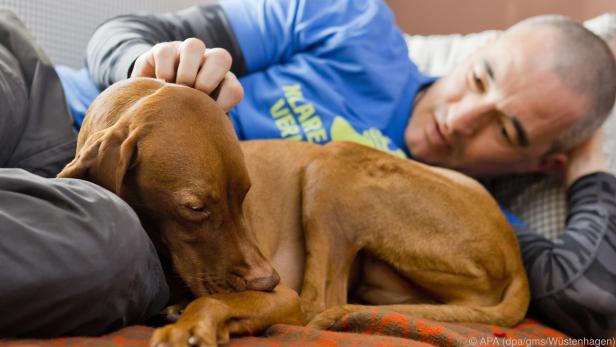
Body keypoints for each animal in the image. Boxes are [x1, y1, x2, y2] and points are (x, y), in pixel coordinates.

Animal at [57, 77, 528, 346]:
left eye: (245, 195)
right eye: (195, 207)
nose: (268, 279)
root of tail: (514, 253)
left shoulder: (281, 294)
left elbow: (214, 300)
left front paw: (192, 326)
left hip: (331, 163)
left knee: (318, 301)